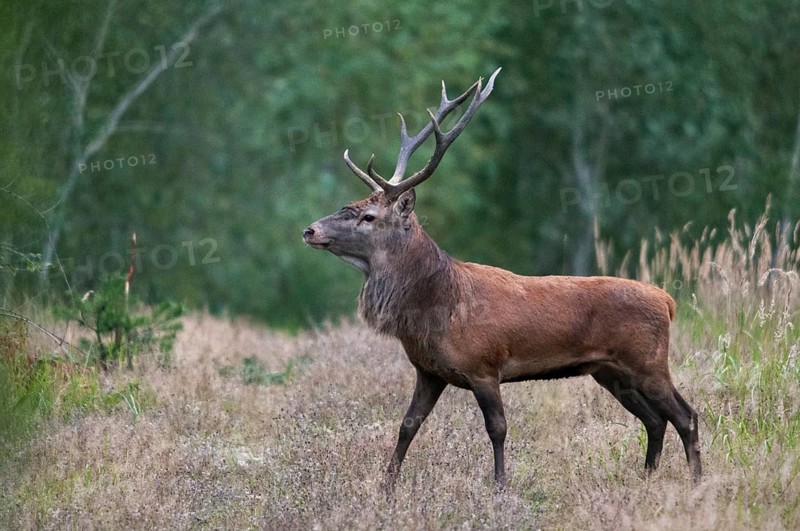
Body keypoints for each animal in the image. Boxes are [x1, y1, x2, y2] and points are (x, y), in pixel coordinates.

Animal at [303, 68, 702, 492]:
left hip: (648, 361)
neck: (435, 309)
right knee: (654, 419)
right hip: (609, 371)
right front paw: (387, 487)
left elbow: (497, 428)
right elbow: (408, 425)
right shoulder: (428, 370)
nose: (310, 230)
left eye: (369, 216)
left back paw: (696, 482)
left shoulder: (484, 366)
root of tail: (667, 300)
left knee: (685, 415)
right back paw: (647, 477)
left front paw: (499, 487)